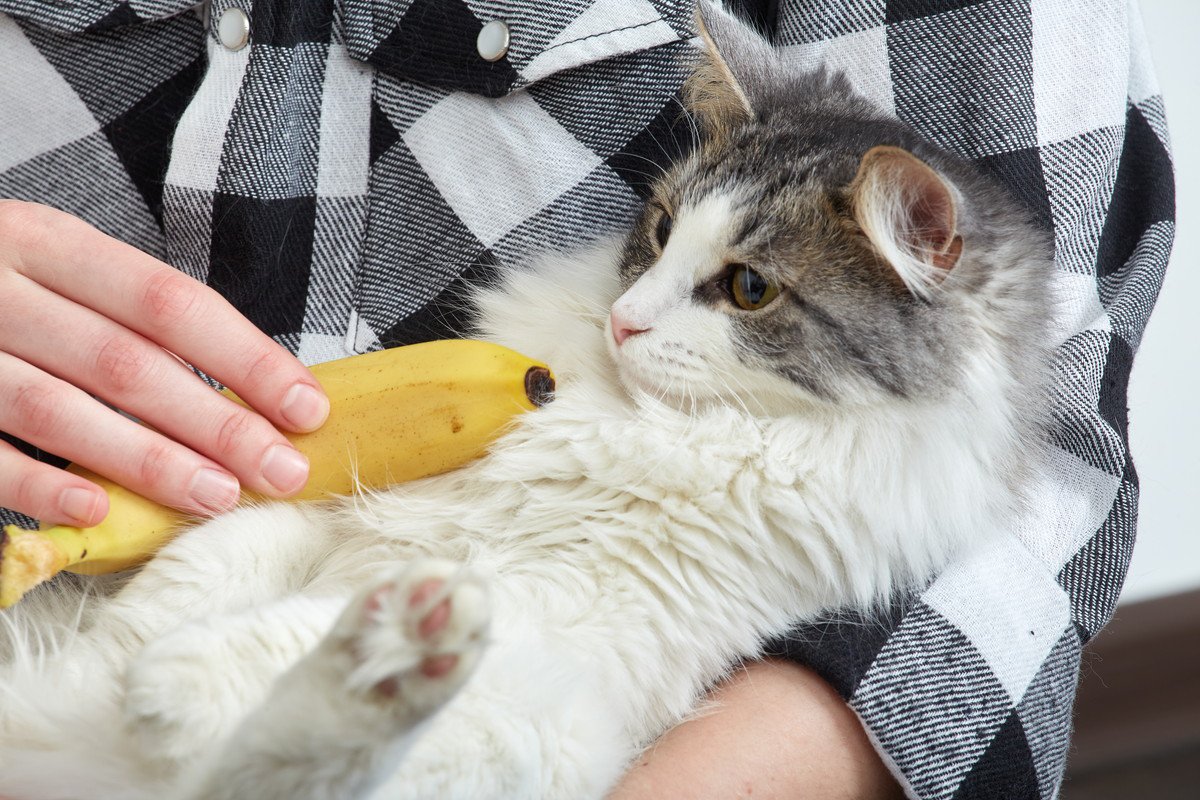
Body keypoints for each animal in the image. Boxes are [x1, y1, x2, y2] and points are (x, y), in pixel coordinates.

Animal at [0, 3, 1051, 796]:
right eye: (661, 232)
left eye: (749, 289)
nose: (625, 321)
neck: (622, 419)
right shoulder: (342, 511)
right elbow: (210, 563)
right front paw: (118, 655)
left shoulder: (553, 632)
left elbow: (276, 642)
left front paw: (174, 685)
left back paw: (385, 653)